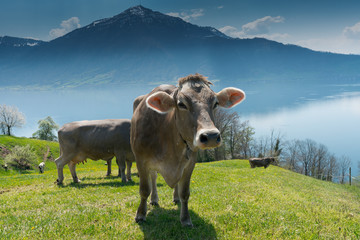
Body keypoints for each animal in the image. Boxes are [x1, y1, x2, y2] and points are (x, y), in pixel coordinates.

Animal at [131, 73, 246, 227]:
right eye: (181, 104)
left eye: (215, 103)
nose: (211, 136)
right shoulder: (141, 160)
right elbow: (144, 190)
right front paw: (140, 215)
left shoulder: (190, 163)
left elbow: (184, 192)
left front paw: (185, 219)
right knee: (154, 177)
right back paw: (154, 199)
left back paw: (175, 198)